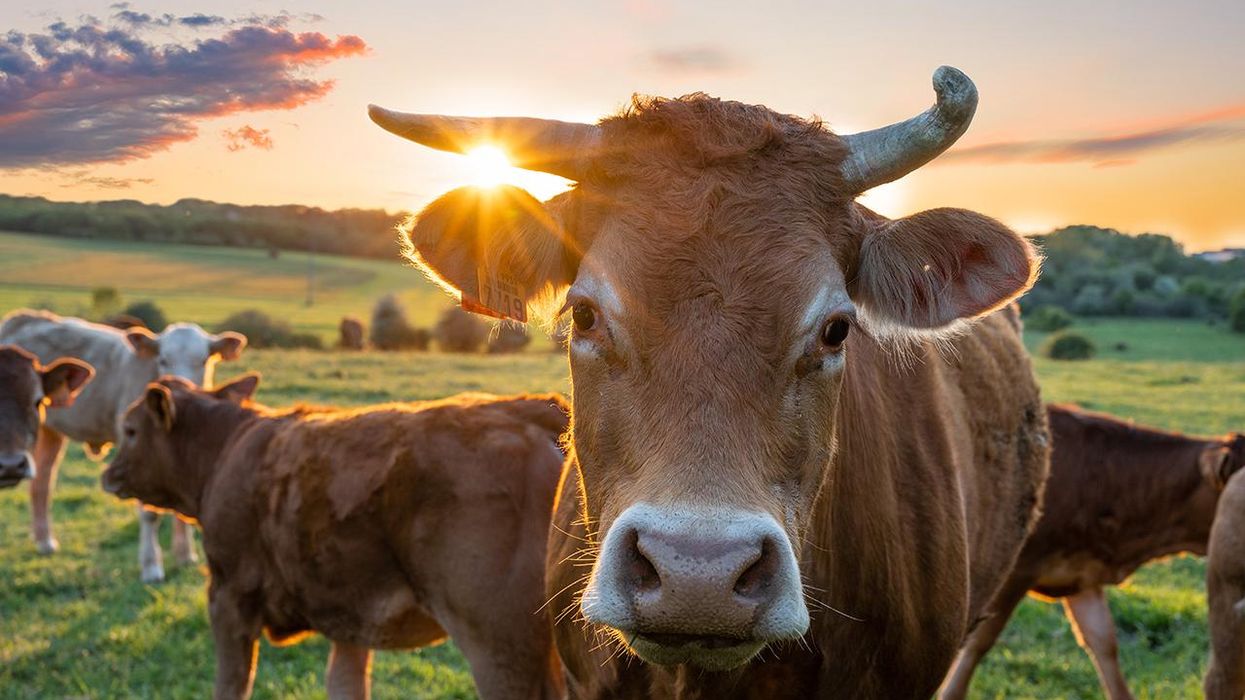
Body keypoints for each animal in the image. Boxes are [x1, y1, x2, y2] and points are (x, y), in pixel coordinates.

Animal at [99, 374, 569, 700]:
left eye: (130, 430)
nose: (107, 472)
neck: (225, 451)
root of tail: (526, 409)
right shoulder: (349, 612)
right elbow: (344, 683)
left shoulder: (228, 596)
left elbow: (232, 684)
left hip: (501, 646)